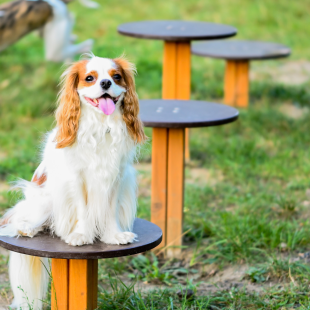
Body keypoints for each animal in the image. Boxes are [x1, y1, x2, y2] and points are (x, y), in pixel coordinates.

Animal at [0, 54, 147, 308]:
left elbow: (109, 211)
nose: (106, 83)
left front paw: (113, 236)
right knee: (22, 218)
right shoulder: (75, 179)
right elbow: (82, 211)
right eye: (90, 78)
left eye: (116, 76)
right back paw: (27, 228)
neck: (101, 126)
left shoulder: (116, 178)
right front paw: (81, 235)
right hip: (44, 198)